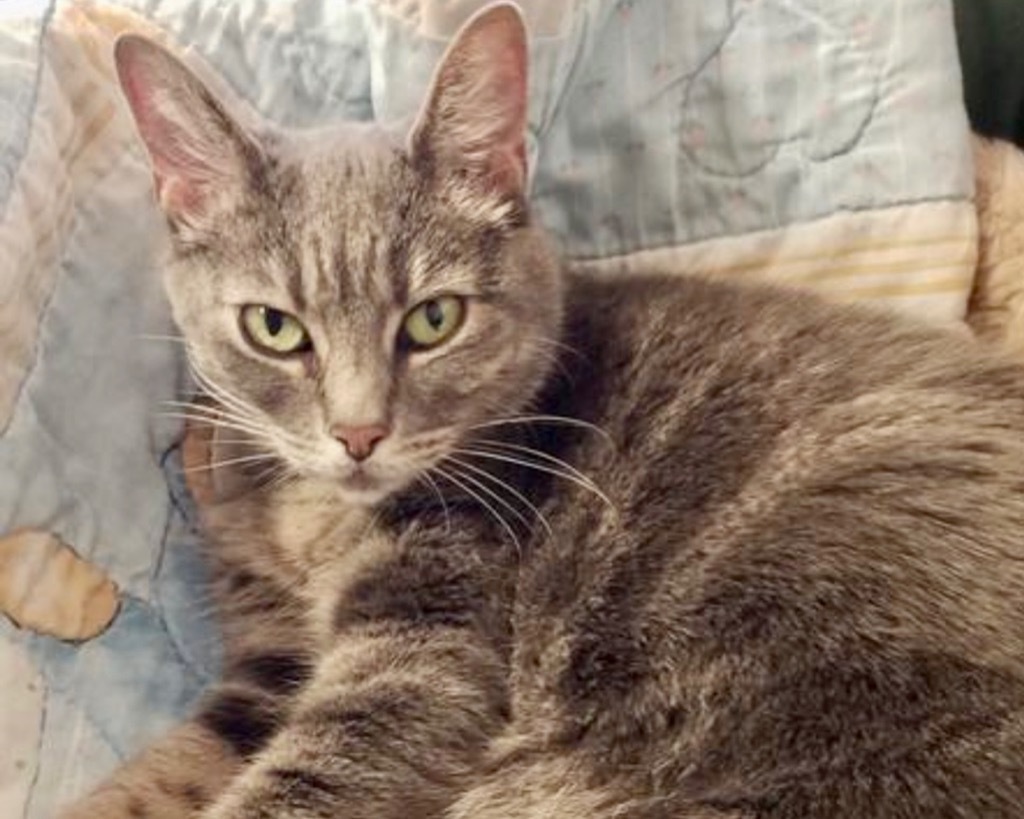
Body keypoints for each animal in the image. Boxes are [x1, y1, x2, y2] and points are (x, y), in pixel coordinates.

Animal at [59, 6, 1024, 818]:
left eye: (433, 319)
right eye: (275, 327)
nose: (360, 433)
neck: (311, 518)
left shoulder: (421, 656)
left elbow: (303, 778)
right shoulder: (267, 659)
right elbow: (163, 771)